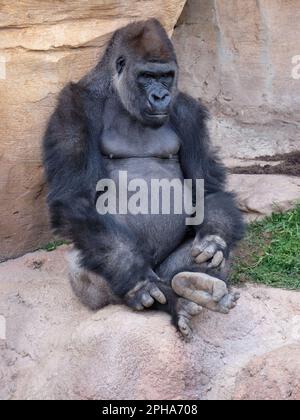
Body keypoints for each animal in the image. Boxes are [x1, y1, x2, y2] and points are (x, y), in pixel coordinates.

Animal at [42, 20, 244, 342]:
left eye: (166, 77)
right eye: (147, 76)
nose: (161, 97)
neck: (116, 93)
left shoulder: (187, 111)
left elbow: (207, 188)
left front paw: (214, 239)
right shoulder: (71, 108)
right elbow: (77, 199)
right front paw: (137, 282)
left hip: (164, 269)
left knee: (200, 263)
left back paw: (192, 288)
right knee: (85, 260)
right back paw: (168, 300)